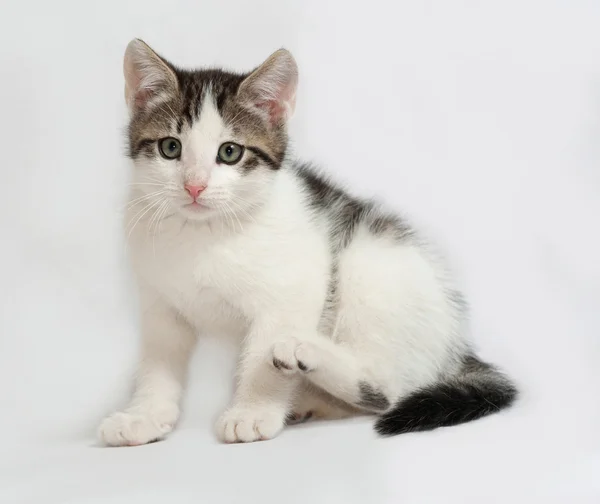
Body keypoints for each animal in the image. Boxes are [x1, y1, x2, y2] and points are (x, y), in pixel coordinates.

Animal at [97, 41, 516, 446]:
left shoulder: (294, 288)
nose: (194, 186)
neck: (203, 234)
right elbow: (158, 362)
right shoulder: (159, 304)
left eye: (230, 152)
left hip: (368, 264)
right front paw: (143, 416)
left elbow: (261, 354)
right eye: (170, 148)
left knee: (387, 390)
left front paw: (253, 411)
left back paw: (303, 352)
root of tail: (456, 342)